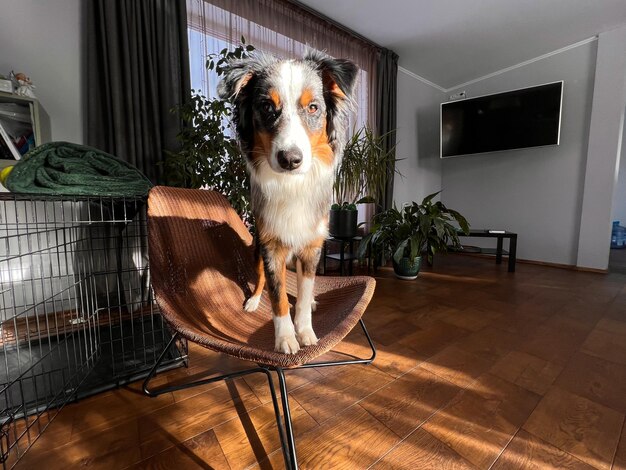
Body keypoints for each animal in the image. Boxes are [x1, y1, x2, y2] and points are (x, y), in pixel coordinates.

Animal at [218, 50, 356, 352]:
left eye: (313, 108)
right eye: (267, 107)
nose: (290, 159)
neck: (292, 184)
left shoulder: (312, 247)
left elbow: (302, 297)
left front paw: (305, 332)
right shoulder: (271, 247)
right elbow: (278, 296)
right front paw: (285, 339)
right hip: (257, 249)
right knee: (260, 279)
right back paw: (254, 300)